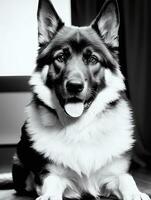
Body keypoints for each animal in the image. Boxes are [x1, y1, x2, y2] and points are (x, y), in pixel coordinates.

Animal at [12, 0, 150, 200]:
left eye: (92, 59)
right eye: (60, 57)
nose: (74, 86)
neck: (79, 127)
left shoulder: (113, 175)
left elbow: (126, 179)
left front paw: (135, 193)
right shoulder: (52, 175)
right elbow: (51, 184)